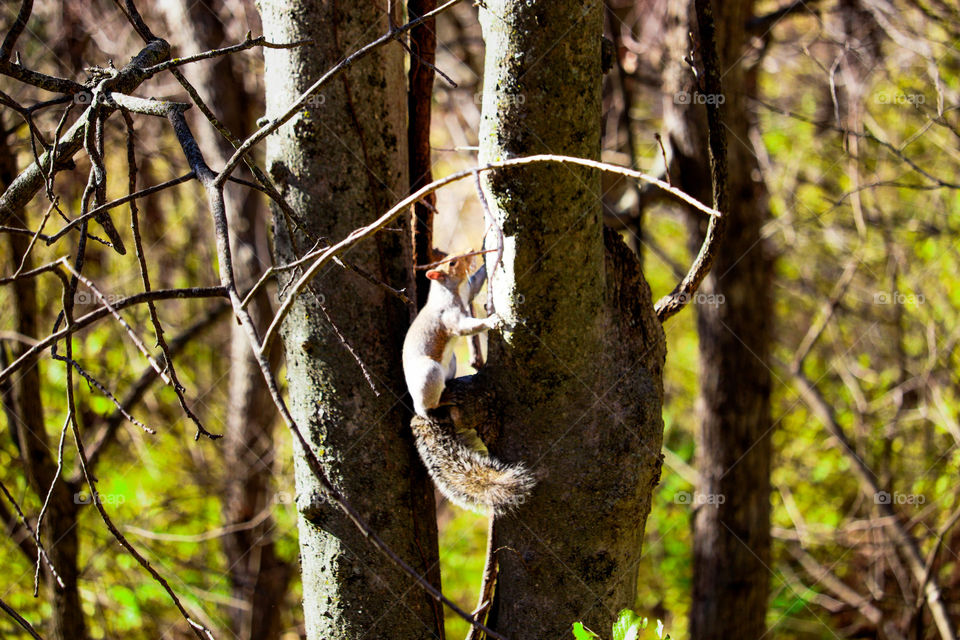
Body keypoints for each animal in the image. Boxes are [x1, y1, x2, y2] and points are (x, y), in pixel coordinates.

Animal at [402, 252, 534, 515]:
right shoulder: (450, 317)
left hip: (450, 363)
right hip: (429, 374)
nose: (466, 255)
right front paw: (493, 320)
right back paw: (441, 400)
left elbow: (476, 282)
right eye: (452, 264)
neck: (451, 289)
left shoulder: (469, 289)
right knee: (428, 405)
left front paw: (485, 257)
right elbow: (466, 327)